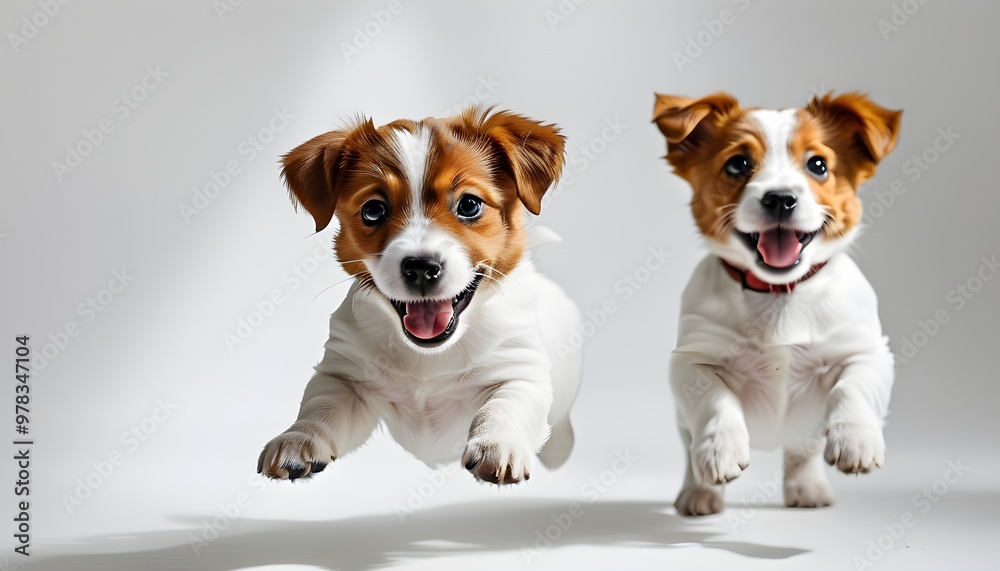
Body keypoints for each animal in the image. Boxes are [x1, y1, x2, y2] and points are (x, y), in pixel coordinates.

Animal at [258, 108, 584, 488]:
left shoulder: (520, 371)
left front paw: (497, 445)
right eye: (373, 210)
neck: (428, 356)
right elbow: (320, 406)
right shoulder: (344, 377)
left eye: (469, 205)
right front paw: (298, 439)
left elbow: (502, 407)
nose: (420, 268)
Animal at [652, 92, 904, 512]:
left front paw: (856, 440)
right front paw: (720, 449)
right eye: (737, 164)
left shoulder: (867, 351)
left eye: (818, 165)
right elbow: (716, 400)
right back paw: (699, 493)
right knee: (690, 451)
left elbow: (852, 386)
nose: (781, 198)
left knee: (802, 450)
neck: (778, 293)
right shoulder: (691, 360)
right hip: (683, 423)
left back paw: (807, 487)